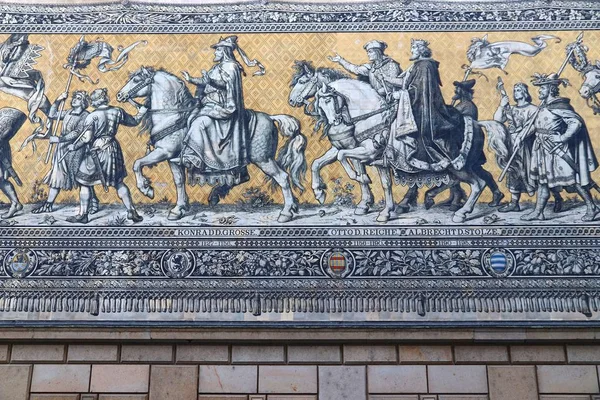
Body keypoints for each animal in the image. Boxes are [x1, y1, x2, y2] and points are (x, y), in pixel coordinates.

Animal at [116, 65, 310, 222]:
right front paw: (179, 209)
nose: (119, 95)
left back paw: (286, 213)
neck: (173, 115)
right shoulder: (173, 159)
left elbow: (137, 164)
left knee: (282, 178)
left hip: (263, 160)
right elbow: (179, 182)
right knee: (243, 177)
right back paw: (217, 194)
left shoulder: (163, 152)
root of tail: (271, 117)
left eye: (136, 79)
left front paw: (146, 189)